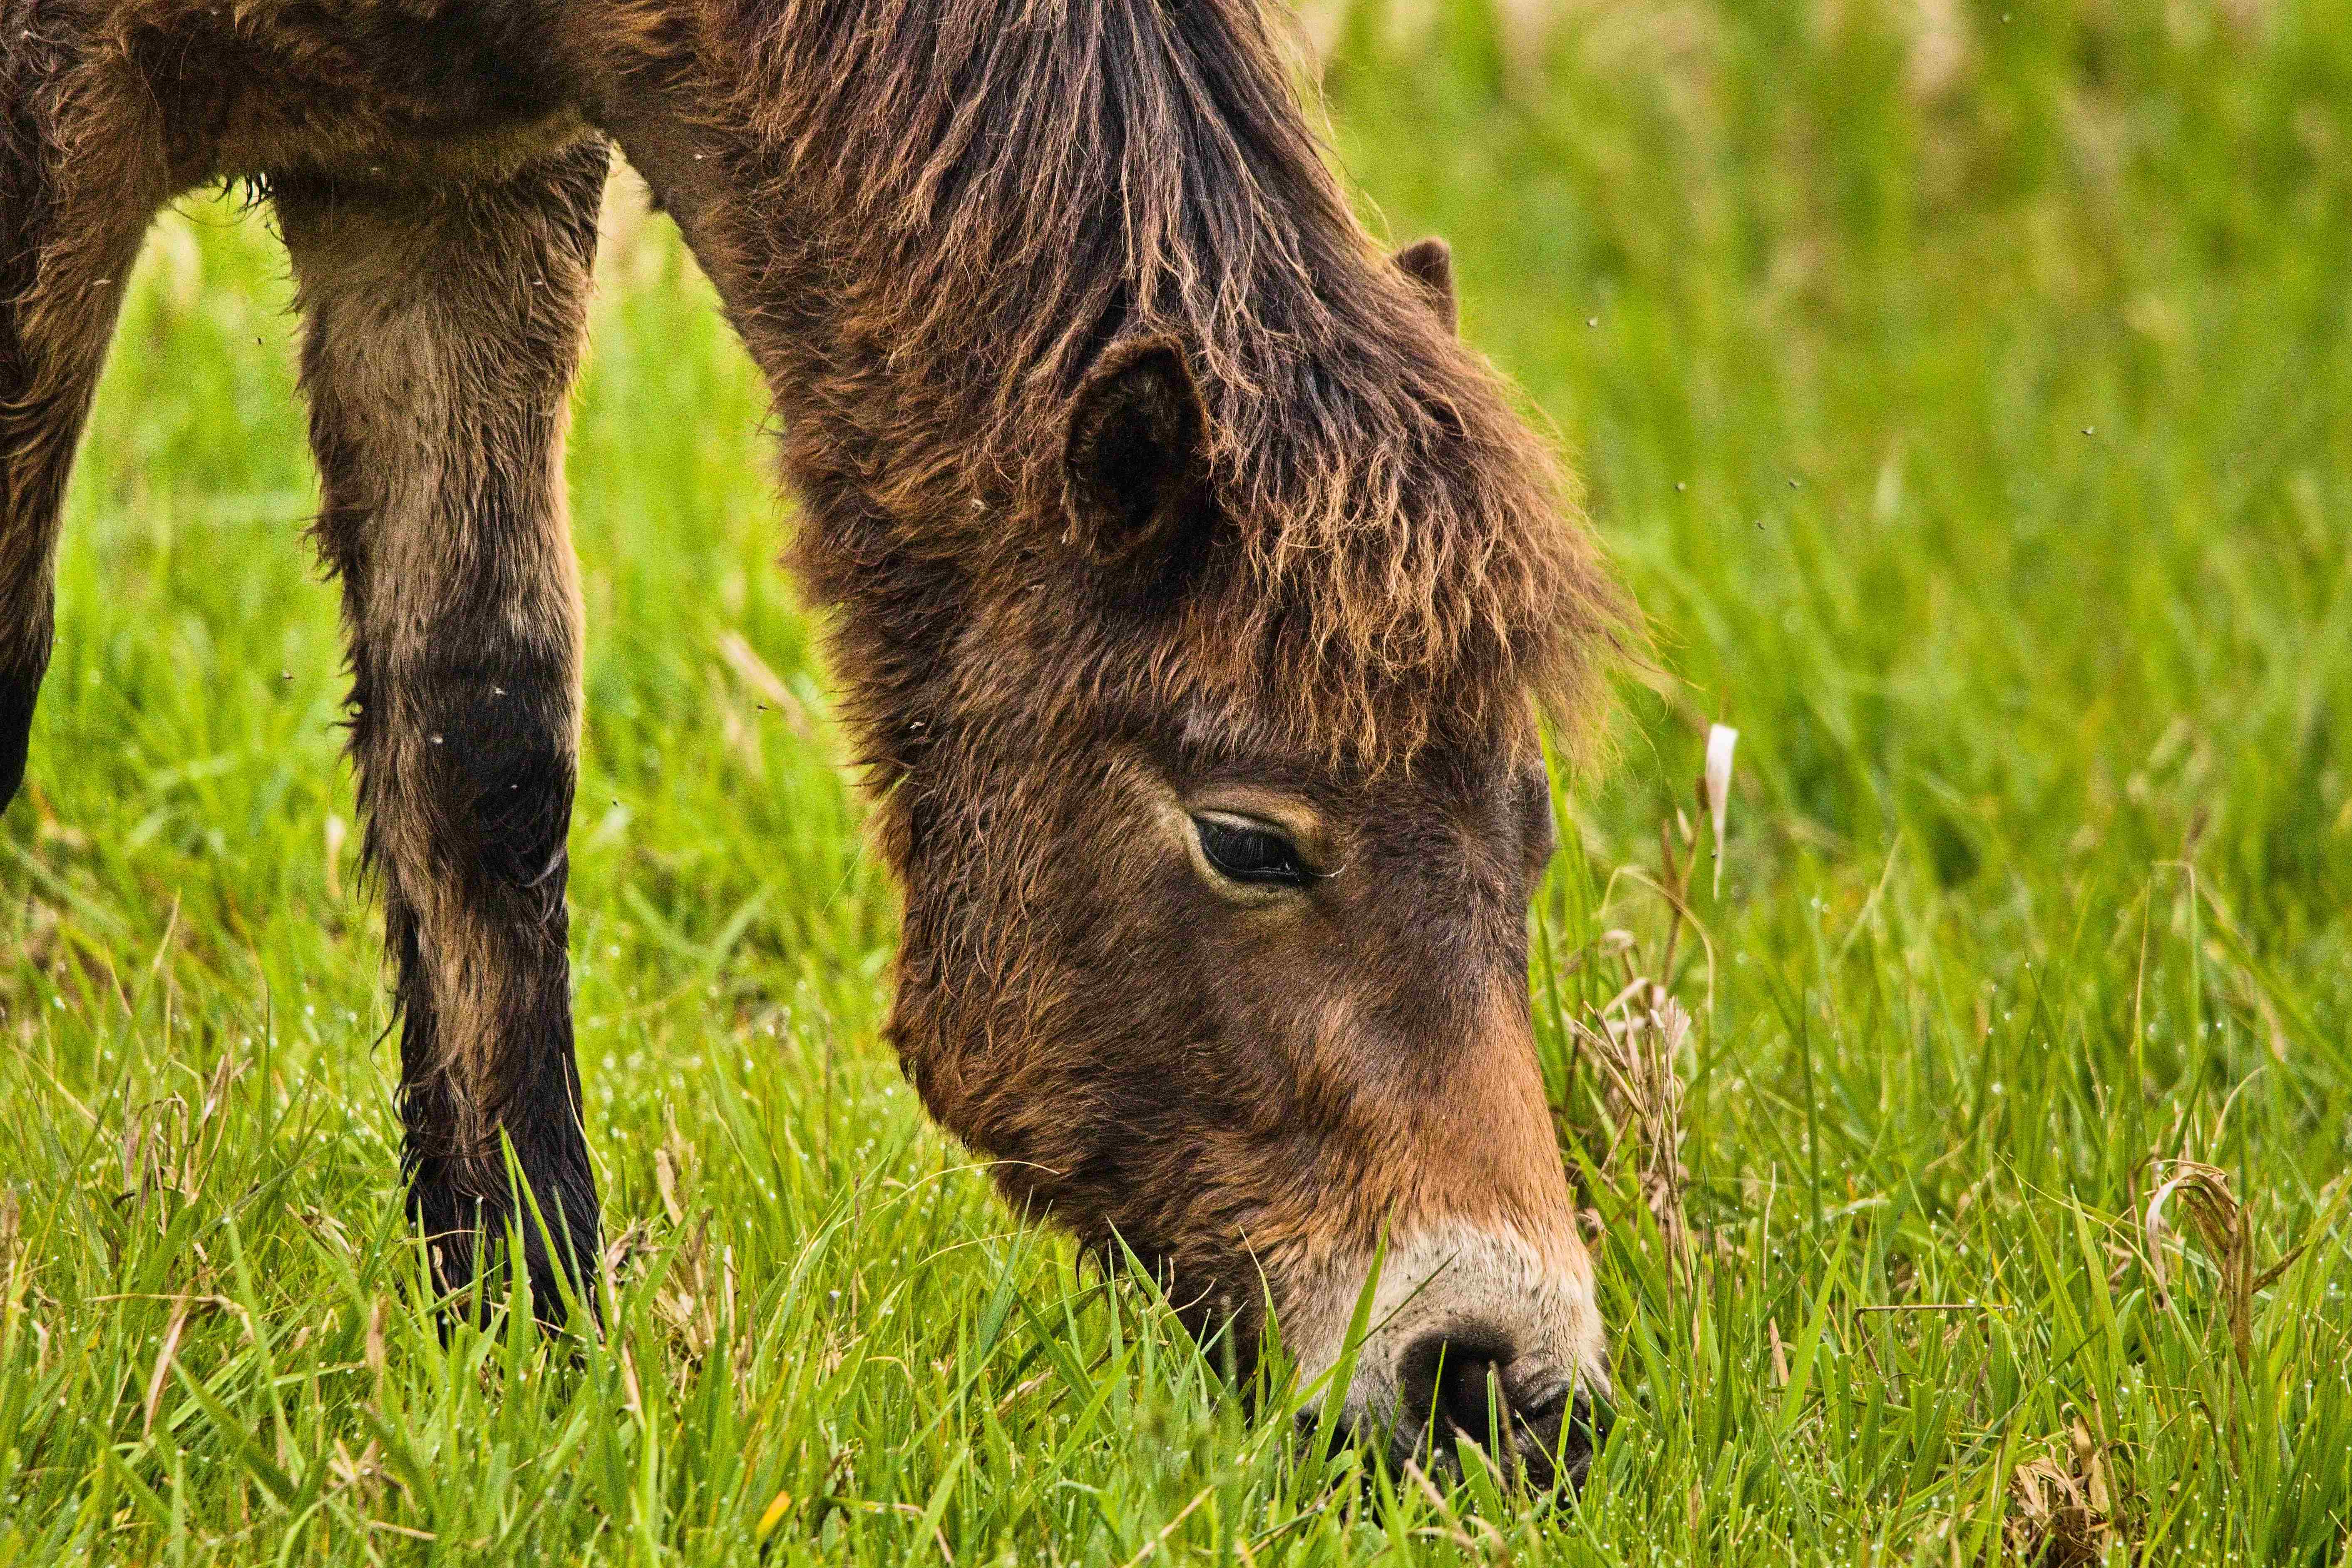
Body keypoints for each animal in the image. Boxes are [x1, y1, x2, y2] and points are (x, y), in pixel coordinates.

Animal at [9, 0, 1637, 1486]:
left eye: (1533, 828)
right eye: (1247, 840)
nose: (1501, 1387)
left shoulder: (452, 183)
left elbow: (483, 745)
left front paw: (529, 1339)